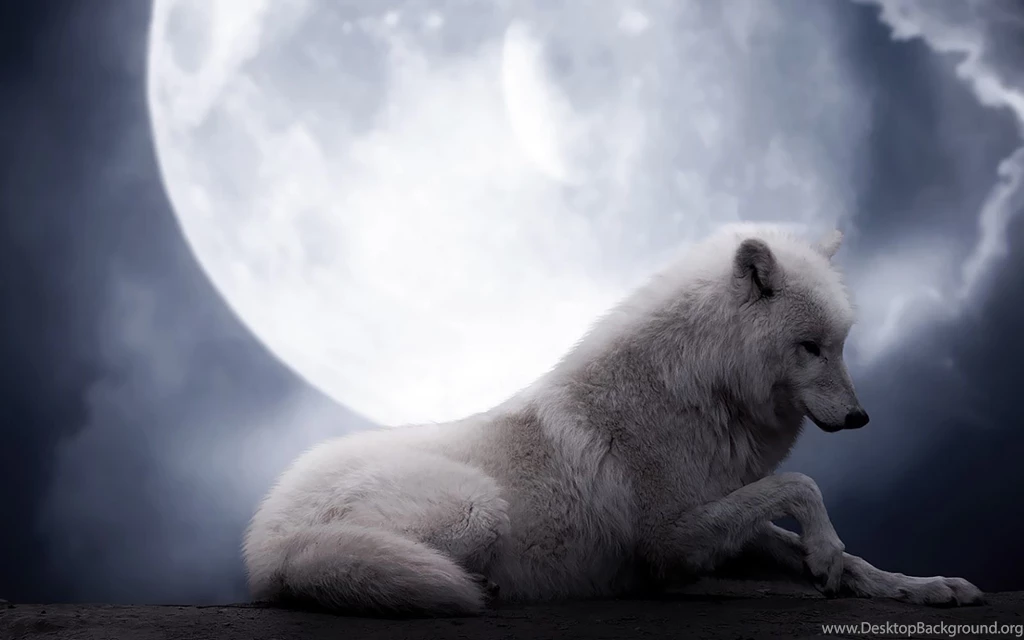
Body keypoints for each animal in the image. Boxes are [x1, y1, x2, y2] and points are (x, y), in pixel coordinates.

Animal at [242, 223, 984, 616]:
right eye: (810, 347)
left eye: (842, 344)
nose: (861, 418)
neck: (701, 390)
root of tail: (266, 539)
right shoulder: (669, 538)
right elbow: (802, 486)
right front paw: (825, 555)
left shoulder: (721, 516)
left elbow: (837, 550)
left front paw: (919, 586)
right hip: (478, 508)